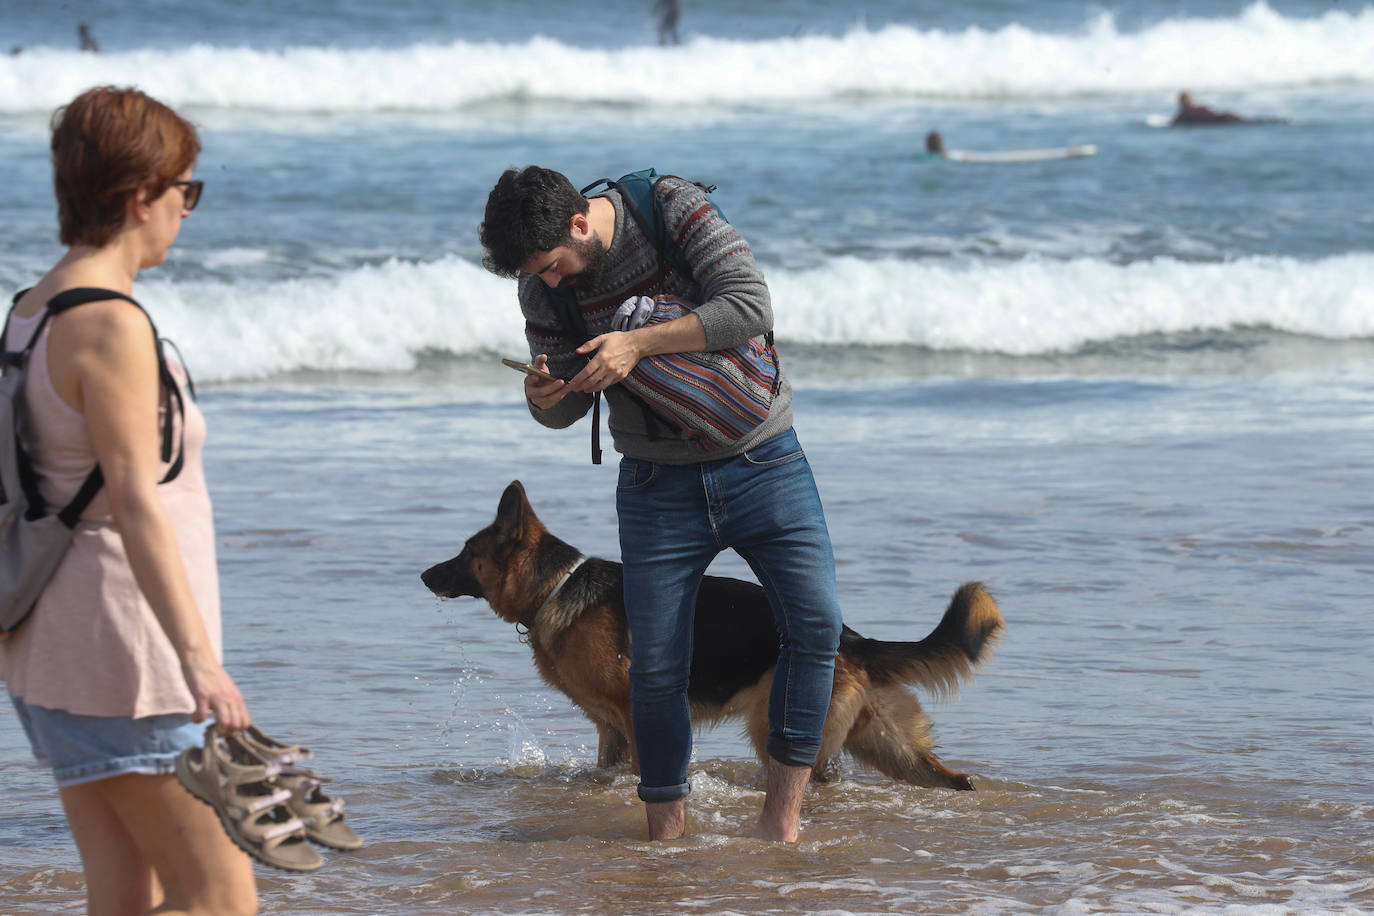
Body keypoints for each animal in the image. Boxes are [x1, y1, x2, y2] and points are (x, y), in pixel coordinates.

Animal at [414, 483, 1000, 791]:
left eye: (467, 553)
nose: (421, 576)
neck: (557, 586)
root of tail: (849, 639)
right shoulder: (610, 731)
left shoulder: (635, 715)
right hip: (886, 743)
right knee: (947, 776)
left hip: (774, 726)